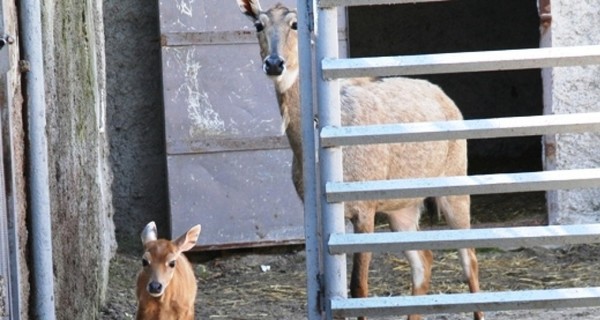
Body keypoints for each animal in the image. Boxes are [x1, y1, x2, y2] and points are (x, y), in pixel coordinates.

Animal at [237, 1, 486, 318]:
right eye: (258, 24)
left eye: (295, 24)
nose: (274, 63)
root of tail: (447, 99)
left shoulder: (364, 209)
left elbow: (358, 287)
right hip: (402, 209)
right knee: (424, 261)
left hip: (455, 185)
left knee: (470, 259)